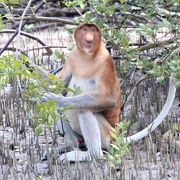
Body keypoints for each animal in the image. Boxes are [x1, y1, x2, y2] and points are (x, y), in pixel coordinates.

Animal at [42, 22, 121, 162]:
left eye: (93, 31)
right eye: (85, 30)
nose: (89, 38)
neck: (87, 56)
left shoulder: (106, 61)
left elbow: (109, 98)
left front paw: (58, 99)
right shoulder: (73, 55)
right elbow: (58, 84)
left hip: (108, 135)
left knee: (84, 109)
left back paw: (90, 154)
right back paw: (66, 147)